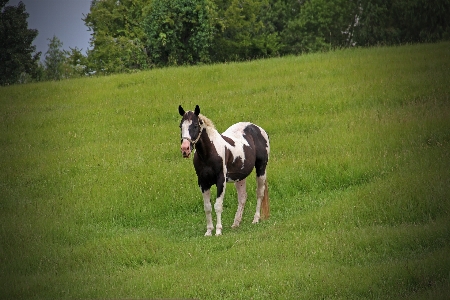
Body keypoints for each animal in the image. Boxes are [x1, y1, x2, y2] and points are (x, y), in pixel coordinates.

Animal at [178, 104, 270, 236]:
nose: (185, 149)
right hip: (240, 177)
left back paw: (256, 219)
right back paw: (236, 223)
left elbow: (218, 205)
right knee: (242, 197)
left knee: (259, 193)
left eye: (195, 125)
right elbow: (207, 207)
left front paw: (218, 231)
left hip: (261, 169)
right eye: (181, 126)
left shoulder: (221, 181)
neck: (209, 154)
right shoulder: (203, 183)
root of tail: (258, 129)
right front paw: (208, 231)